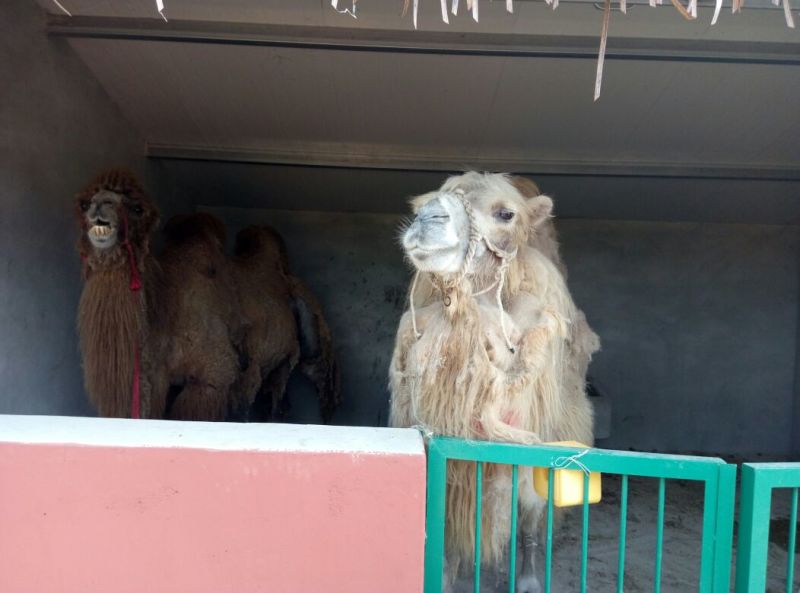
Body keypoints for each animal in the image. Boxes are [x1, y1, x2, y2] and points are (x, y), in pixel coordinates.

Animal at [73, 168, 340, 420]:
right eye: (84, 204)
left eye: (137, 208)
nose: (100, 204)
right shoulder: (153, 381)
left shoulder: (213, 376)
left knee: (313, 370)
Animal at [388, 171, 600, 592]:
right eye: (424, 201)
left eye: (505, 213)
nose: (428, 219)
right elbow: (449, 526)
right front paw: (447, 576)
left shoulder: (536, 433)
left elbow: (531, 510)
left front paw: (529, 580)